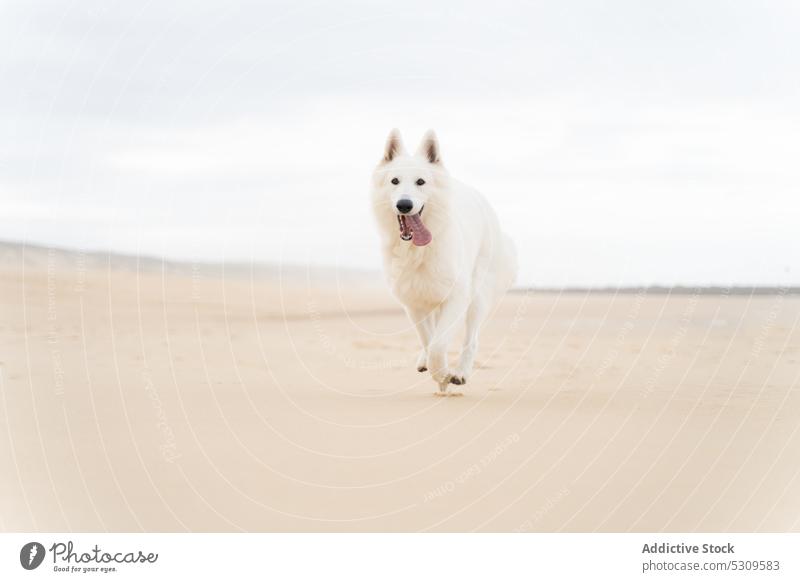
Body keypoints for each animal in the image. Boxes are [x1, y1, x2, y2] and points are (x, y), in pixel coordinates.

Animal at [370, 130, 520, 394]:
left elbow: (438, 345)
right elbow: (428, 339)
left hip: (477, 296)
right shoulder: (414, 303)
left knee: (472, 339)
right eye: (394, 181)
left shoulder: (456, 297)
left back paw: (460, 373)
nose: (404, 205)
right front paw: (436, 372)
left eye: (421, 182)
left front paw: (443, 375)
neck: (418, 250)